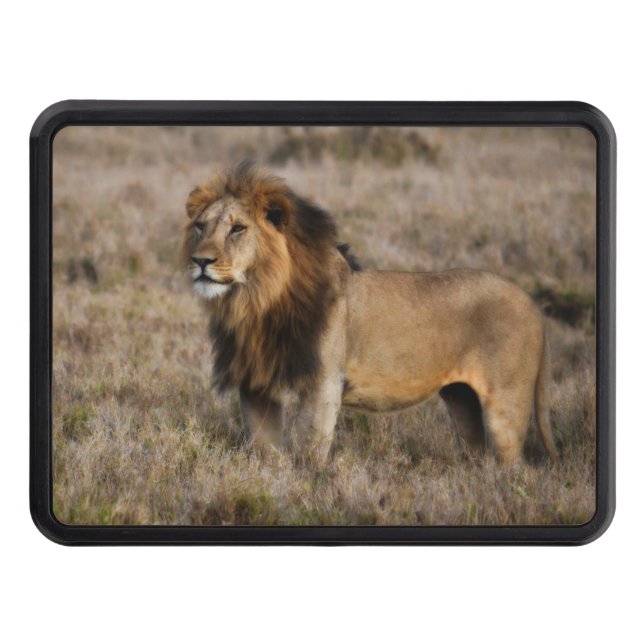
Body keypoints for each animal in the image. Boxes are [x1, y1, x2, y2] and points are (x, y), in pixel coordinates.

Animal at [182, 162, 559, 467]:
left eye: (238, 229)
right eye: (200, 226)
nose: (200, 261)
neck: (256, 301)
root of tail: (533, 305)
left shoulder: (323, 382)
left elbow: (309, 450)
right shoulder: (256, 384)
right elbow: (264, 451)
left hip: (506, 404)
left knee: (515, 466)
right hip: (461, 398)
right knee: (477, 453)